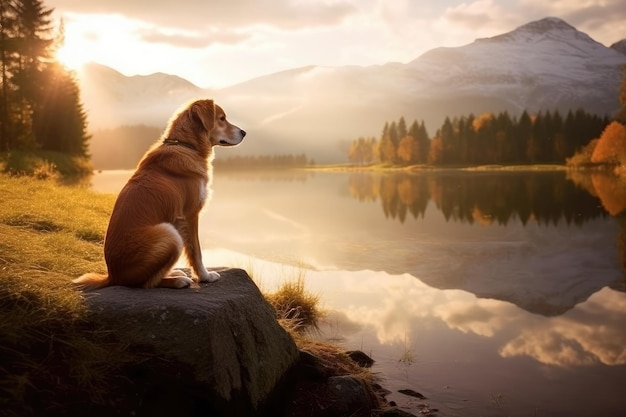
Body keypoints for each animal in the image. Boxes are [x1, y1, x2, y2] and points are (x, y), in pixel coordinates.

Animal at [74, 99, 245, 290]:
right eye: (222, 118)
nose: (244, 132)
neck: (186, 145)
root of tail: (114, 276)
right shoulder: (190, 215)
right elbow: (196, 252)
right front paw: (205, 276)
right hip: (169, 234)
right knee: (146, 283)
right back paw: (177, 280)